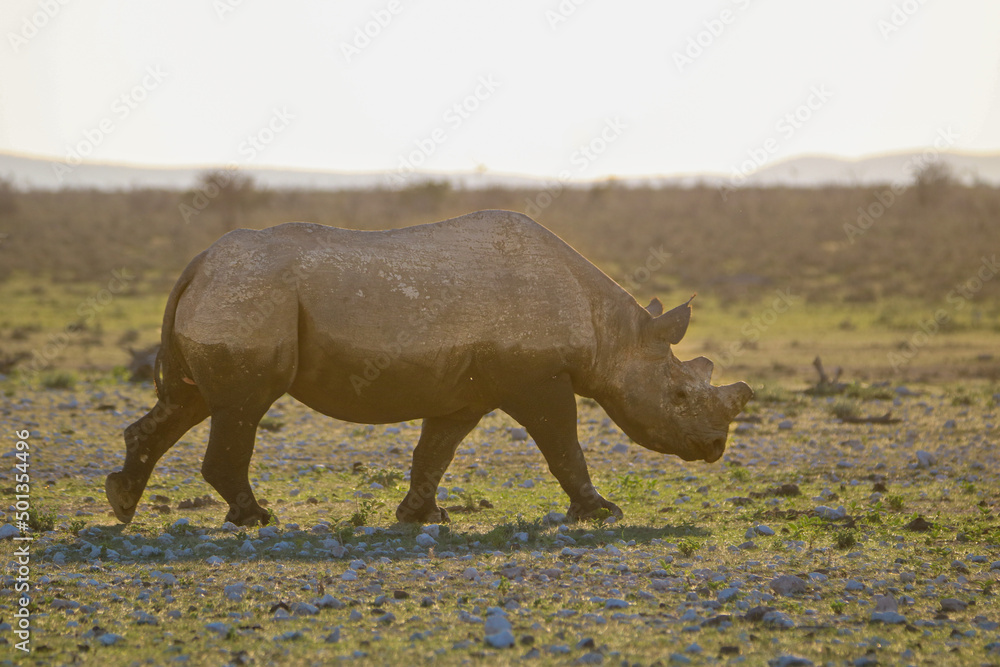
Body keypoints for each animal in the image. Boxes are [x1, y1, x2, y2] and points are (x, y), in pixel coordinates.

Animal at [105, 210, 752, 527]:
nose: (715, 447)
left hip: (235, 295)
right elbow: (563, 445)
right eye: (679, 396)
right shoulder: (535, 379)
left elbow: (435, 451)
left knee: (189, 402)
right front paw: (601, 513)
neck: (613, 335)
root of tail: (200, 263)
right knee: (241, 406)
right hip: (250, 296)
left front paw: (420, 517)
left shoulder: (468, 391)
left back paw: (122, 503)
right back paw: (256, 521)